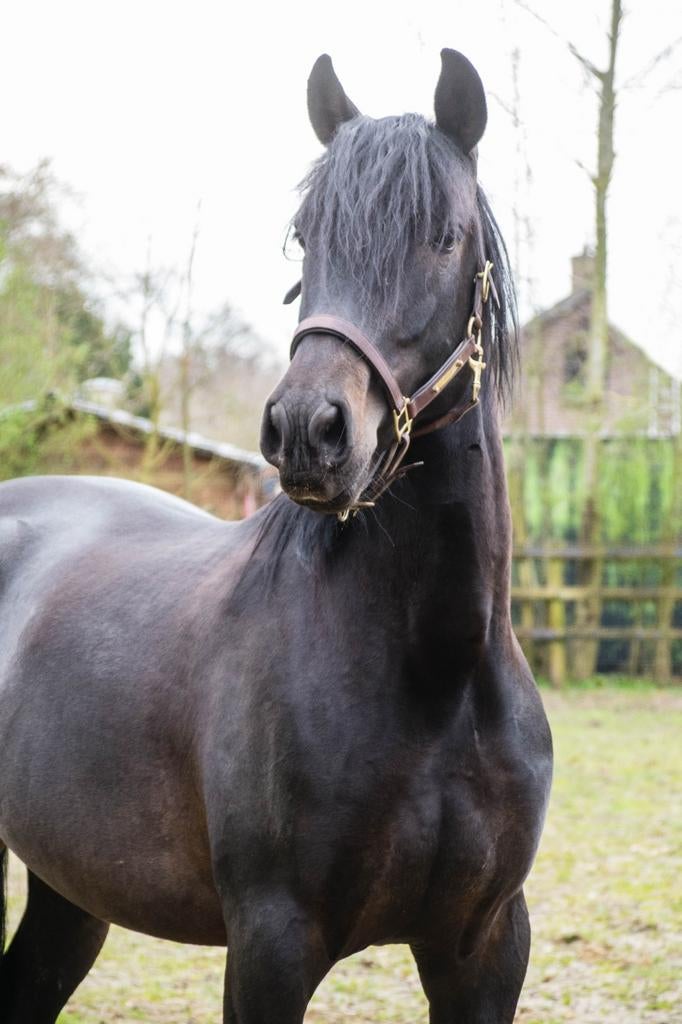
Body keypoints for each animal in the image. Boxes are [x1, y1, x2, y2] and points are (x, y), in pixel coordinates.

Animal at [0, 49, 552, 1023]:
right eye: (305, 238)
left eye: (444, 237)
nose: (307, 429)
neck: (438, 674)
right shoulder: (271, 943)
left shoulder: (485, 947)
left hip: (69, 887)